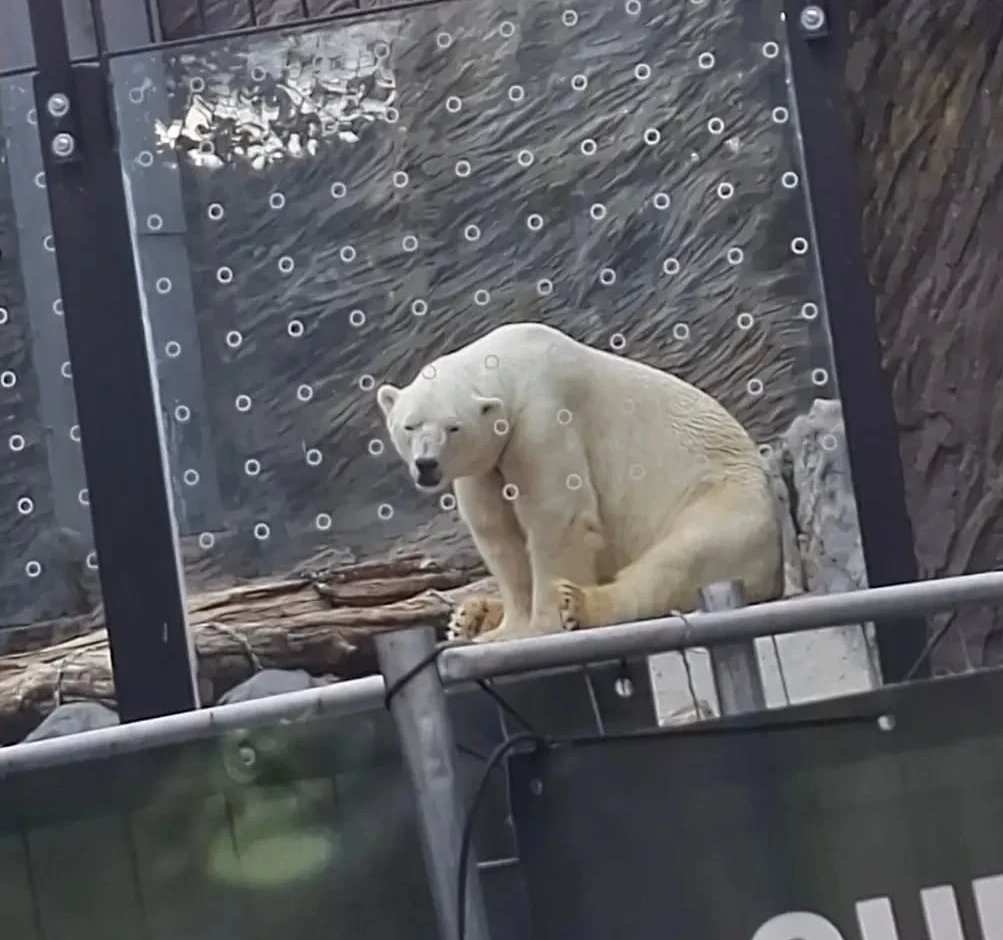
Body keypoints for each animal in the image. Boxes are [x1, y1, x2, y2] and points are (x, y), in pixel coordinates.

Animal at [376, 322, 784, 643]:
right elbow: (498, 534)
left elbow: (557, 518)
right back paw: (471, 615)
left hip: (719, 506)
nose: (426, 465)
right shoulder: (486, 467)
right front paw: (505, 628)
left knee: (674, 563)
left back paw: (580, 604)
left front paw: (544, 622)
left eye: (453, 428)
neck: (512, 362)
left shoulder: (544, 418)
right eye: (410, 425)